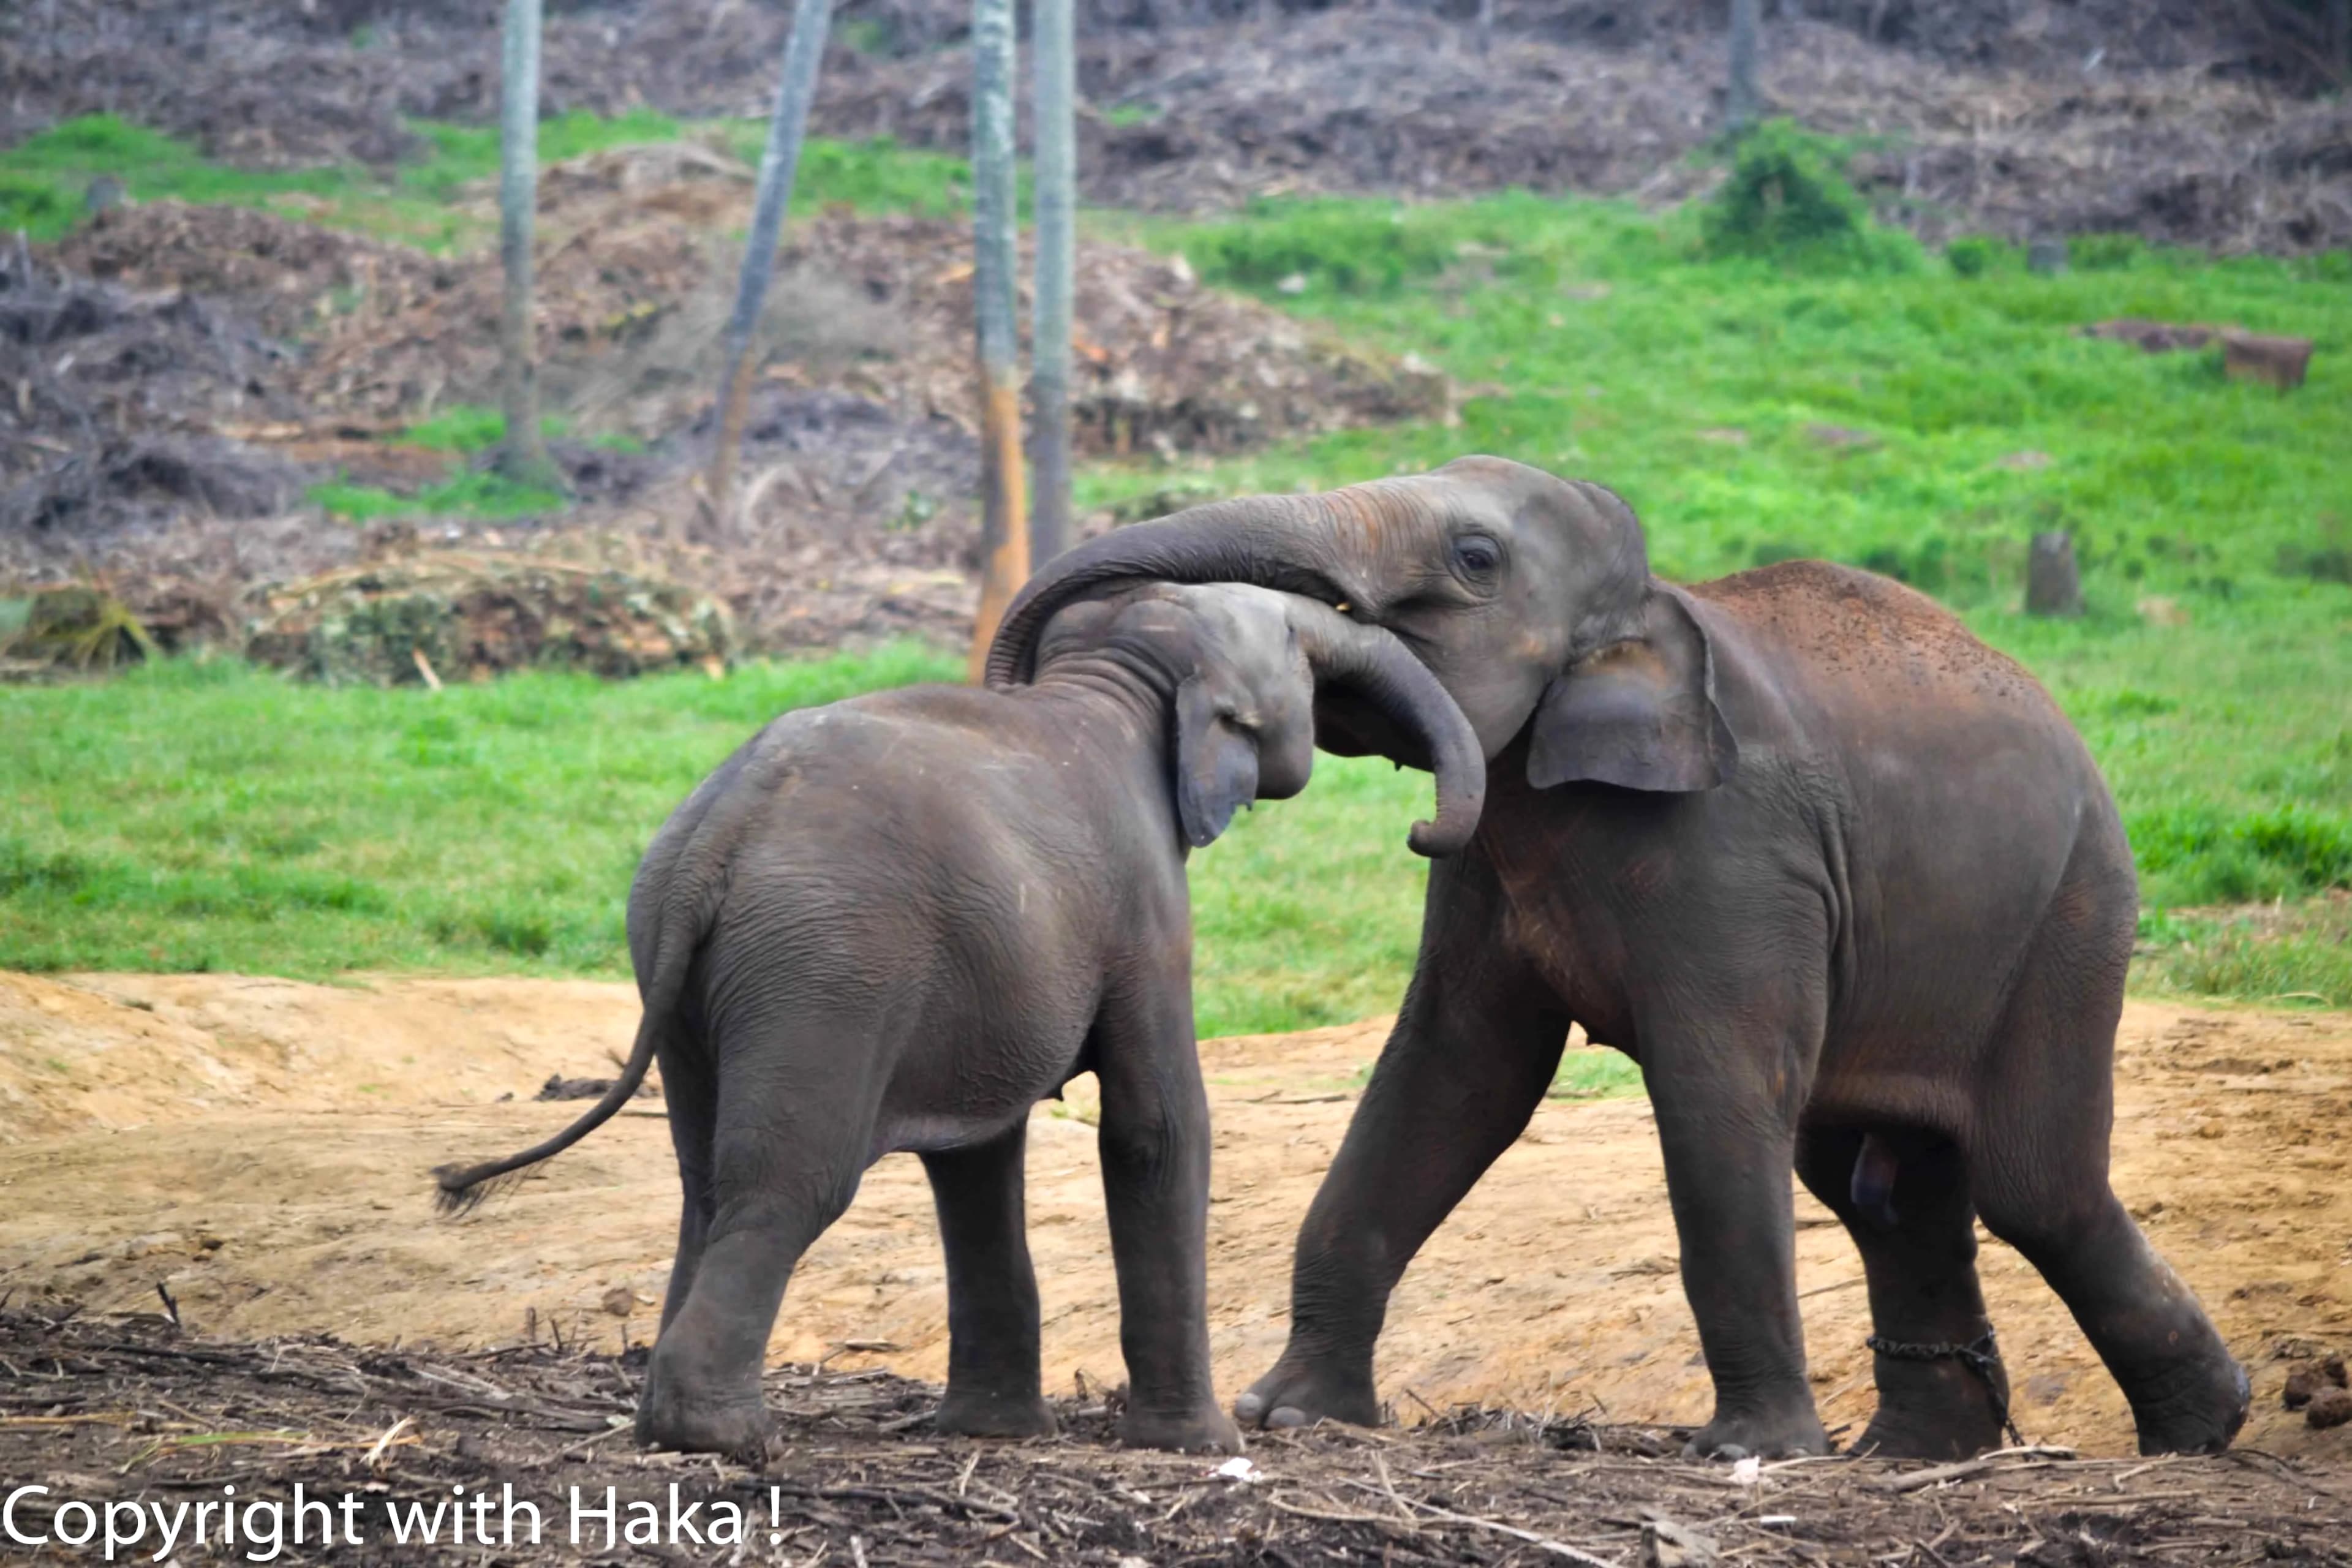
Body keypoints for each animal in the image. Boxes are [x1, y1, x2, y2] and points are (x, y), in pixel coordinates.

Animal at [433, 581, 1485, 1459]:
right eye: (1302, 648)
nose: (1418, 828)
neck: (1112, 677)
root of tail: (722, 828)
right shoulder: (1147, 914)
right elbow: (1156, 1128)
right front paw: (1202, 1447)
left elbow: (977, 1159)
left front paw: (996, 1434)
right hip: (827, 969)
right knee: (790, 1183)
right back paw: (727, 1439)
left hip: (678, 962)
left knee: (705, 1182)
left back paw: (671, 1423)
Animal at [985, 456, 2251, 1461]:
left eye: (1476, 558)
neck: (1652, 611)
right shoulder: (1493, 859)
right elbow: (1451, 1077)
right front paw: (1290, 1417)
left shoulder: (1741, 848)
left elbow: (1713, 1091)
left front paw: (1753, 1454)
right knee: (1881, 1186)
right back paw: (1918, 1456)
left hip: (2072, 919)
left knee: (2033, 1184)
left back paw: (2204, 1428)